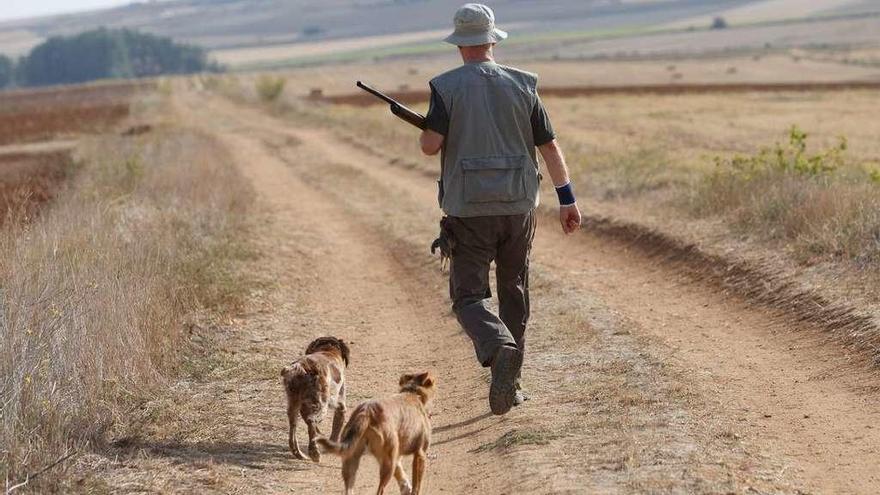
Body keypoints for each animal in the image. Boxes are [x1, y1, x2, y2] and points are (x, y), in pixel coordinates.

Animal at [282, 336, 350, 464]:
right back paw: (314, 453)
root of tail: (301, 367)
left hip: (294, 405)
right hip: (322, 405)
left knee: (293, 430)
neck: (328, 349)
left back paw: (299, 454)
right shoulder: (340, 406)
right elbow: (335, 430)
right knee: (311, 422)